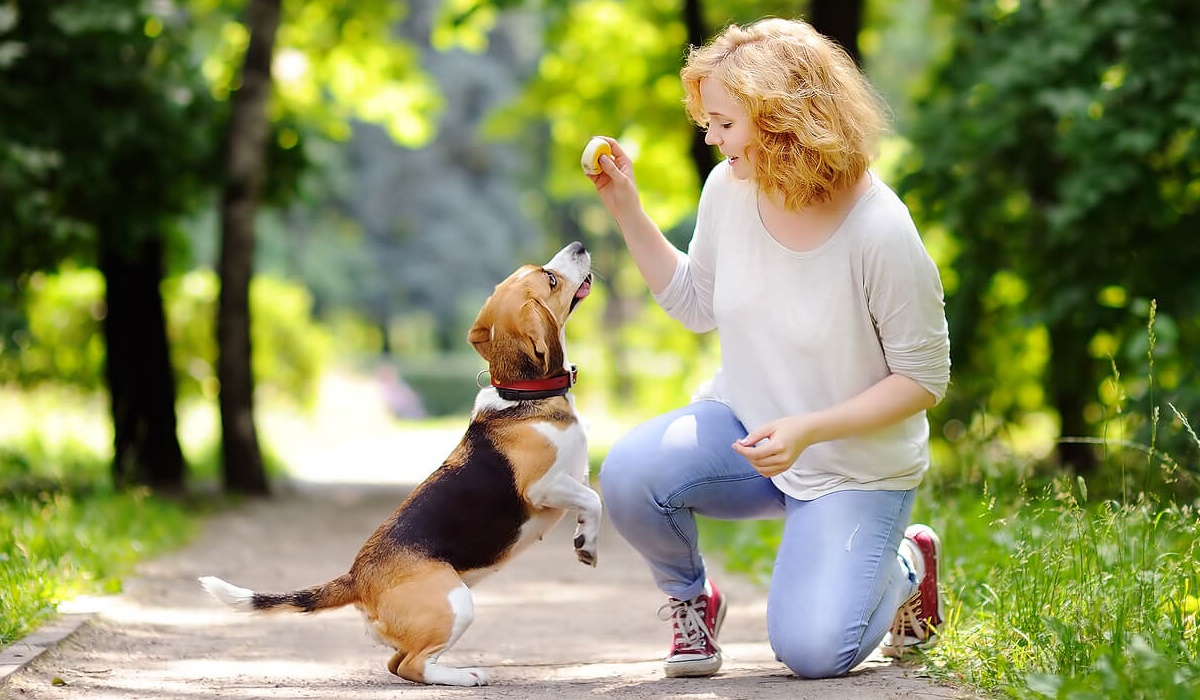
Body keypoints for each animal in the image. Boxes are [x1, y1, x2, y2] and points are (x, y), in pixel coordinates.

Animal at [202, 240, 609, 686]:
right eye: (550, 279)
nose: (579, 246)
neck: (523, 394)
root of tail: (356, 578)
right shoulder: (543, 486)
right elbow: (594, 499)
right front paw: (587, 546)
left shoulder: (574, 476)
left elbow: (589, 500)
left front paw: (583, 538)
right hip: (456, 603)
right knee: (414, 665)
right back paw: (466, 675)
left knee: (397, 664)